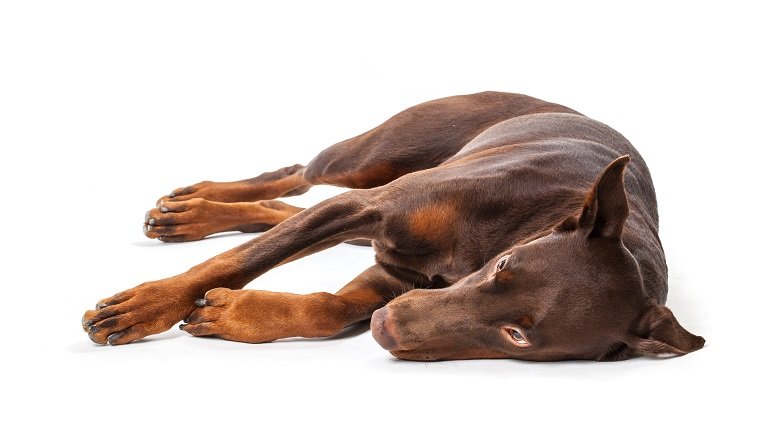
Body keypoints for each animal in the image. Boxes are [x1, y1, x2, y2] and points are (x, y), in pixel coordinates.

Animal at [80, 92, 704, 362]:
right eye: (503, 267)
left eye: (518, 336)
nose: (388, 325)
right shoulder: (373, 209)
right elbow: (239, 261)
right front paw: (146, 307)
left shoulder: (390, 274)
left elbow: (329, 309)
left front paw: (237, 315)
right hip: (367, 157)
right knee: (298, 175)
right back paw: (197, 205)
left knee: (288, 207)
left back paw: (195, 215)